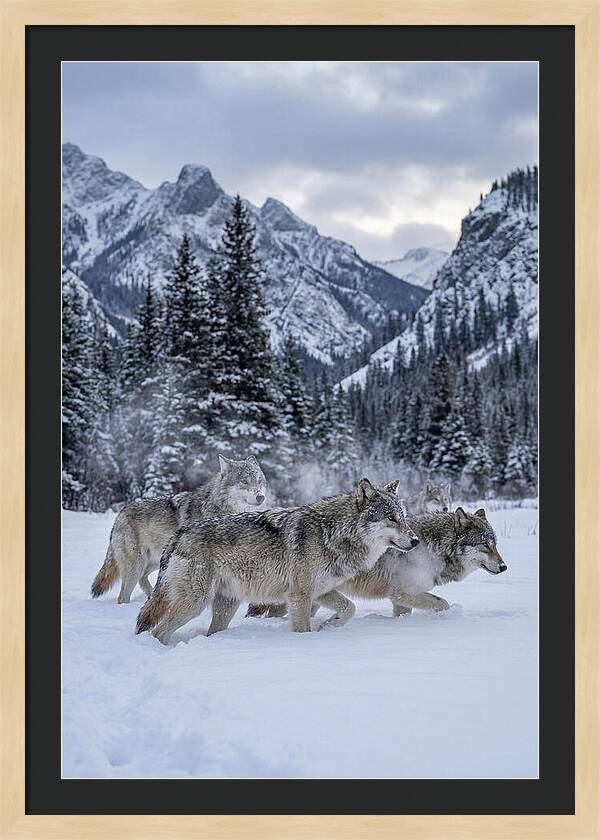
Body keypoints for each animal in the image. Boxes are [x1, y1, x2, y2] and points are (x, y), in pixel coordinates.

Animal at [90, 454, 267, 604]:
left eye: (259, 481)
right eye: (244, 481)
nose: (261, 497)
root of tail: (120, 513)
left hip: (156, 562)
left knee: (143, 579)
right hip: (136, 566)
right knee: (123, 596)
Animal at [135, 478, 419, 643]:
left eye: (403, 517)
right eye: (391, 518)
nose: (415, 540)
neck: (332, 533)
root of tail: (179, 534)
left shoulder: (321, 591)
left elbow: (349, 607)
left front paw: (329, 626)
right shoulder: (300, 595)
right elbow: (303, 628)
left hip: (226, 605)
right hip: (195, 603)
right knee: (158, 631)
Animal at [339, 507, 507, 616]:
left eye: (494, 545)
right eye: (485, 544)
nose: (504, 567)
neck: (434, 549)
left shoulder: (401, 600)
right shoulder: (402, 593)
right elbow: (443, 603)